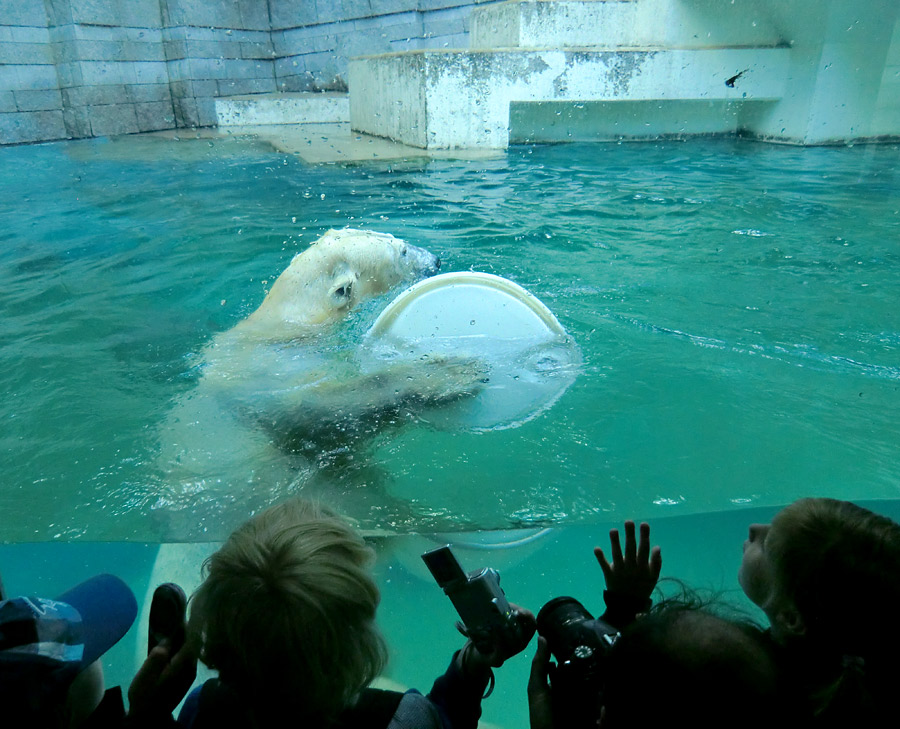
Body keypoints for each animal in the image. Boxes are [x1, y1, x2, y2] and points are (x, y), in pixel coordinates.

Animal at [156, 229, 486, 540]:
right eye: (402, 251)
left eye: (396, 239)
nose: (436, 261)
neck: (289, 324)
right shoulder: (269, 374)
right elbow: (316, 413)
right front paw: (450, 373)